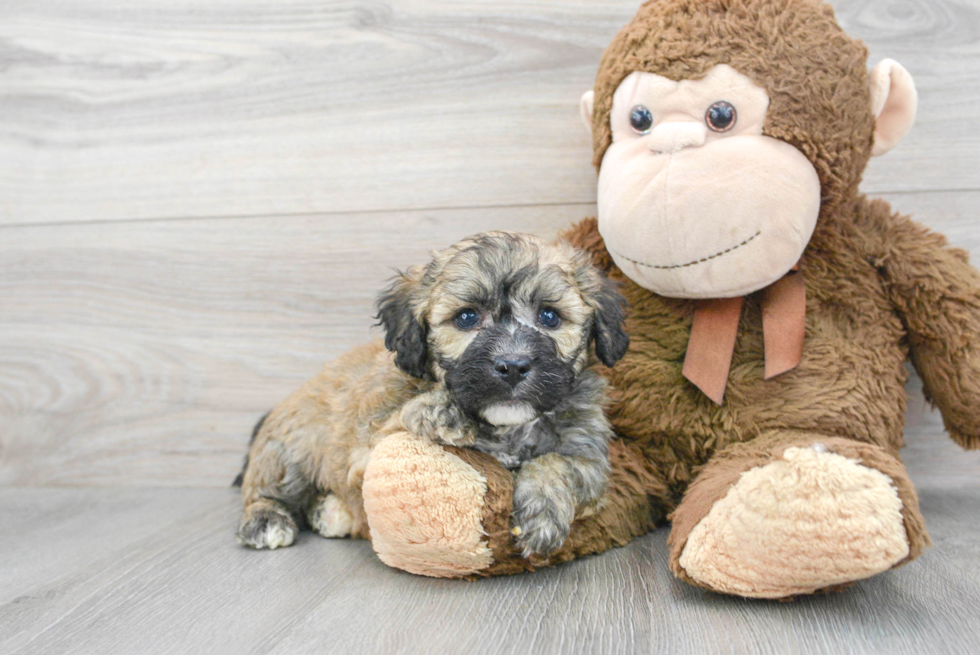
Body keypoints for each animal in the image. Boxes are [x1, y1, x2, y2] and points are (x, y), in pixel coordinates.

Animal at [235, 233, 628, 556]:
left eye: (549, 316)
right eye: (467, 317)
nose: (513, 366)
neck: (507, 428)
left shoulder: (589, 458)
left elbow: (556, 462)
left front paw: (542, 516)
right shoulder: (364, 451)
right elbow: (394, 421)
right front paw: (441, 410)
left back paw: (329, 512)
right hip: (290, 451)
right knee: (264, 490)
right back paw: (267, 519)